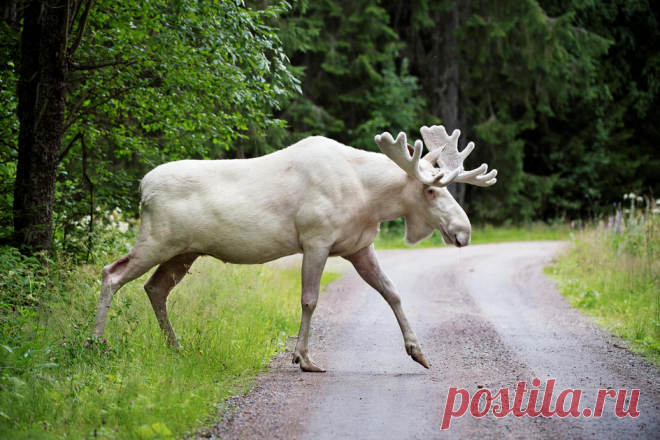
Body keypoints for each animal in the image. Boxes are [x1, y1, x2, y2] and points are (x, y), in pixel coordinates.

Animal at [91, 124, 496, 372]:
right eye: (430, 189)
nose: (464, 232)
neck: (370, 198)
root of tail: (142, 188)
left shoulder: (359, 247)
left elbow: (393, 292)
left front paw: (418, 352)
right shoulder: (316, 239)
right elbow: (310, 299)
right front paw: (303, 358)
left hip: (184, 251)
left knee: (155, 288)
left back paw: (176, 348)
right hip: (157, 240)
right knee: (111, 273)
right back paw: (96, 343)